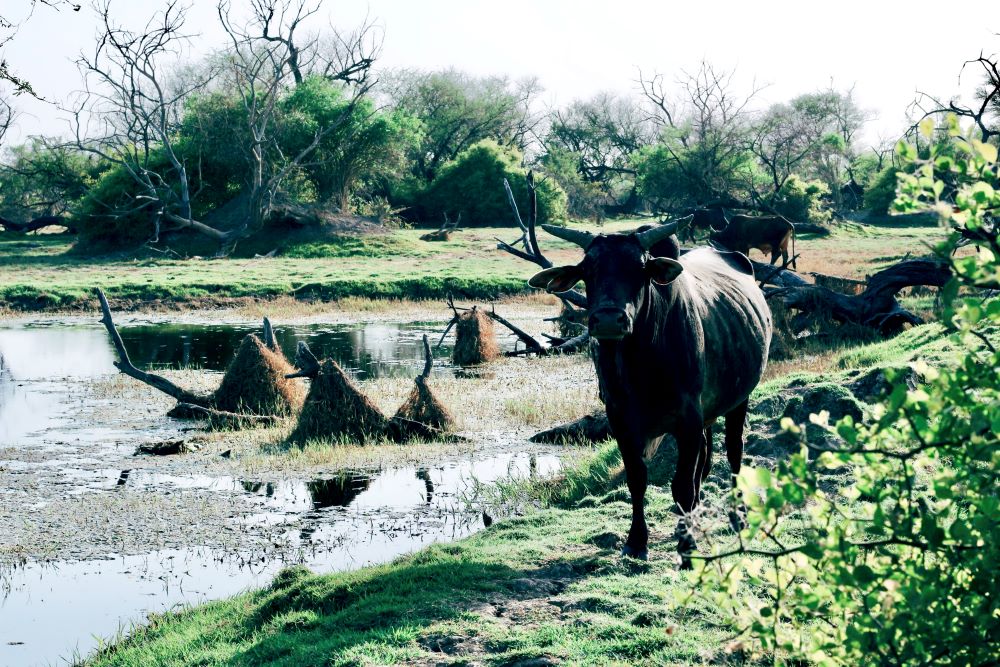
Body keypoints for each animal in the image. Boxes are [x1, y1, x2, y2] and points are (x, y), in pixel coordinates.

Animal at [532, 220, 772, 568]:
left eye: (640, 268)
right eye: (588, 269)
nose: (608, 319)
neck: (640, 365)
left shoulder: (687, 419)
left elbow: (681, 484)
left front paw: (687, 549)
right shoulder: (621, 420)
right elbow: (637, 479)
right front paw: (636, 541)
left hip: (739, 401)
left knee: (734, 453)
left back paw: (736, 515)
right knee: (706, 459)